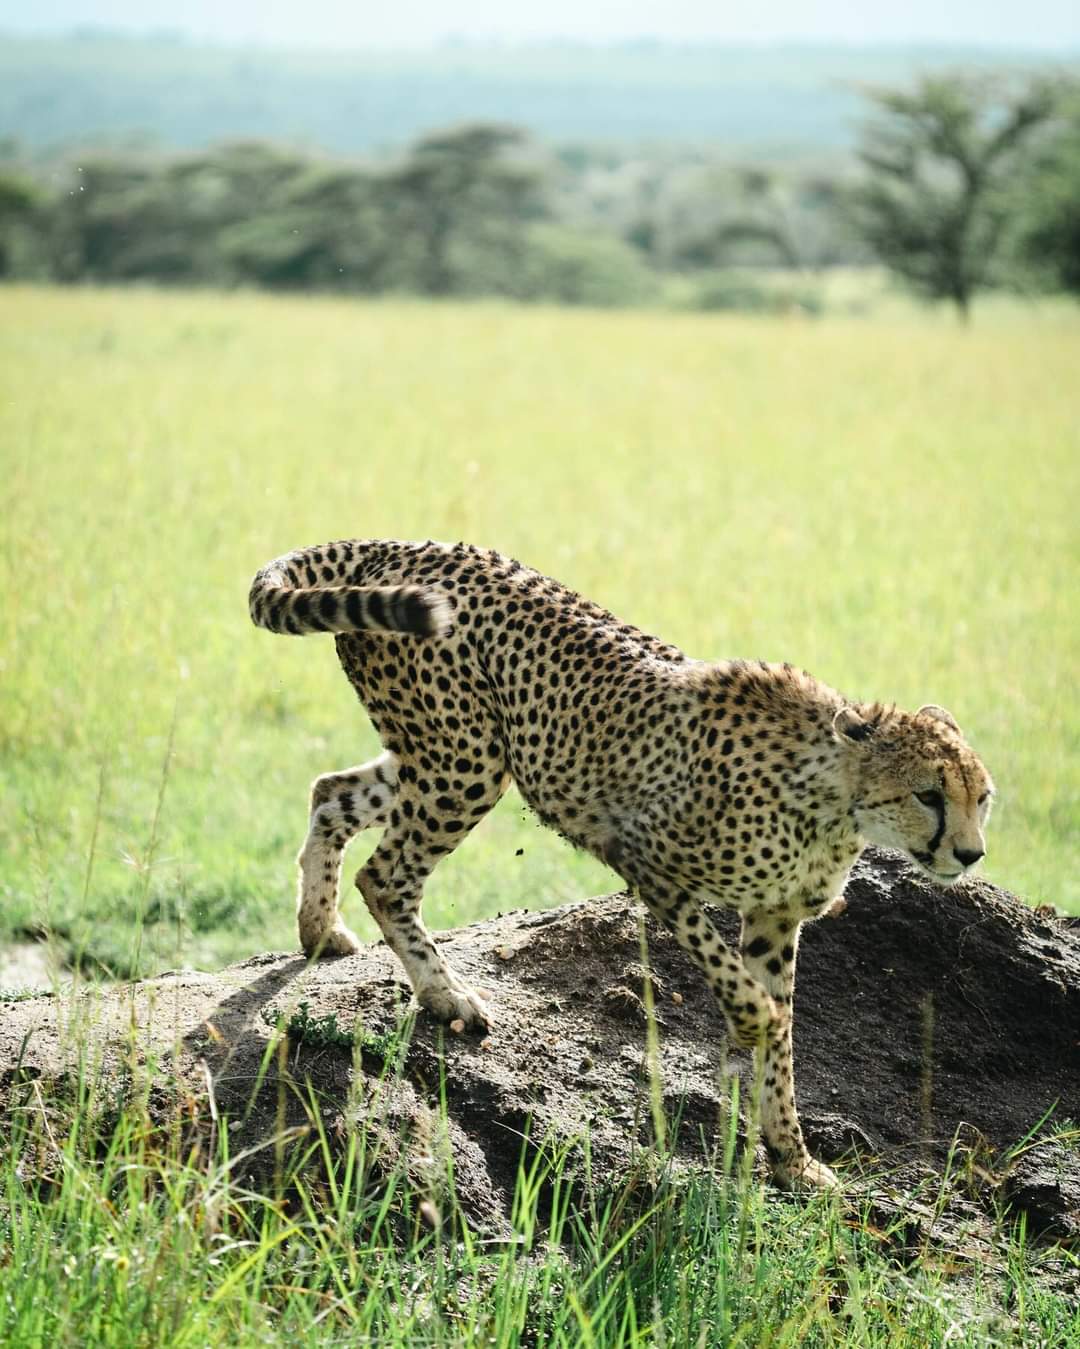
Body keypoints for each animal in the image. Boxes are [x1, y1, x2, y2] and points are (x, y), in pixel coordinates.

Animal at [248, 539, 992, 1192]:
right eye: (929, 794)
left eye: (981, 797)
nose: (971, 853)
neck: (836, 795)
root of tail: (404, 546)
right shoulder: (645, 857)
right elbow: (757, 1005)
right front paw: (753, 1043)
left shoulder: (775, 919)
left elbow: (779, 1037)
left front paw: (792, 1157)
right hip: (466, 757)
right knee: (386, 875)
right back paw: (444, 993)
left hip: (437, 753)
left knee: (331, 793)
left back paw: (320, 930)